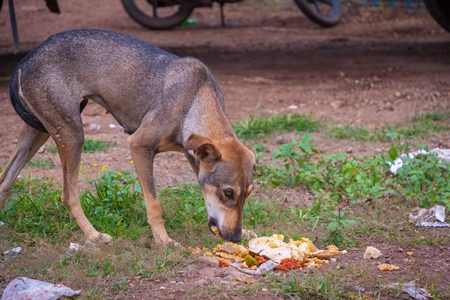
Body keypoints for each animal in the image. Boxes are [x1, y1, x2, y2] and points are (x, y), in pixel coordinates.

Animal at [0, 28, 255, 245]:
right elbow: (154, 204)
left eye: (248, 193)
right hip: (72, 135)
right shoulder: (139, 146)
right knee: (68, 196)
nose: (235, 238)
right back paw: (93, 235)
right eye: (228, 192)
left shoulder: (194, 157)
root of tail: (26, 60)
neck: (195, 99)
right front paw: (163, 241)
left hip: (37, 133)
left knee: (5, 180)